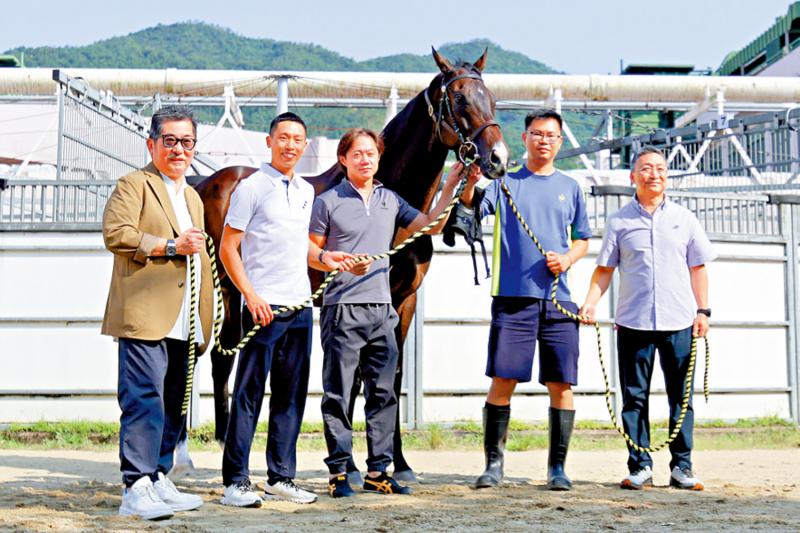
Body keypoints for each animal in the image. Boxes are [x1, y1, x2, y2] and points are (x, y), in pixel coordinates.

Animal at [195, 46, 506, 478]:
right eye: (459, 100)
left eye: (491, 99)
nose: (497, 159)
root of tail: (211, 182)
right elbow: (354, 376)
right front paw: (353, 464)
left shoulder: (404, 300)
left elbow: (390, 375)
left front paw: (398, 463)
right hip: (229, 283)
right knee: (225, 353)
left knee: (227, 351)